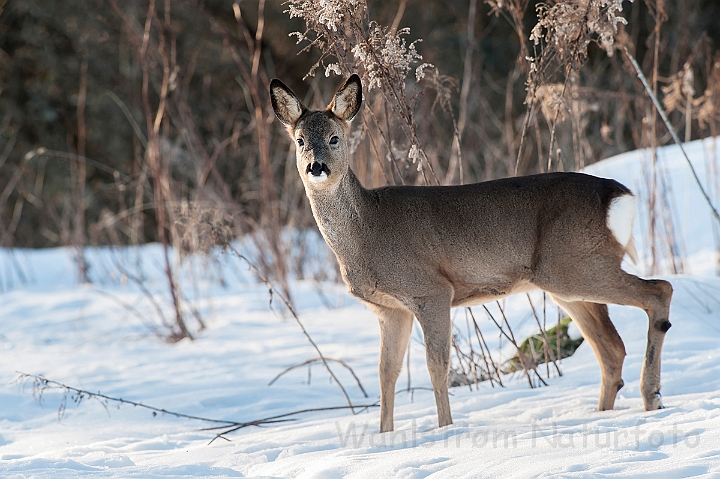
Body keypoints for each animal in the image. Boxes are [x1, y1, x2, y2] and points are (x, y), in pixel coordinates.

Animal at [268, 74, 672, 436]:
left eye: (334, 138)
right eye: (300, 140)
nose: (316, 166)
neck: (366, 231)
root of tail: (620, 196)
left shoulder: (431, 290)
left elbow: (437, 365)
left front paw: (445, 429)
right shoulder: (390, 309)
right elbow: (387, 373)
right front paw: (384, 438)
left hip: (576, 267)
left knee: (659, 290)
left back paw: (651, 396)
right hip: (567, 280)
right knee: (612, 348)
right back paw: (607, 411)